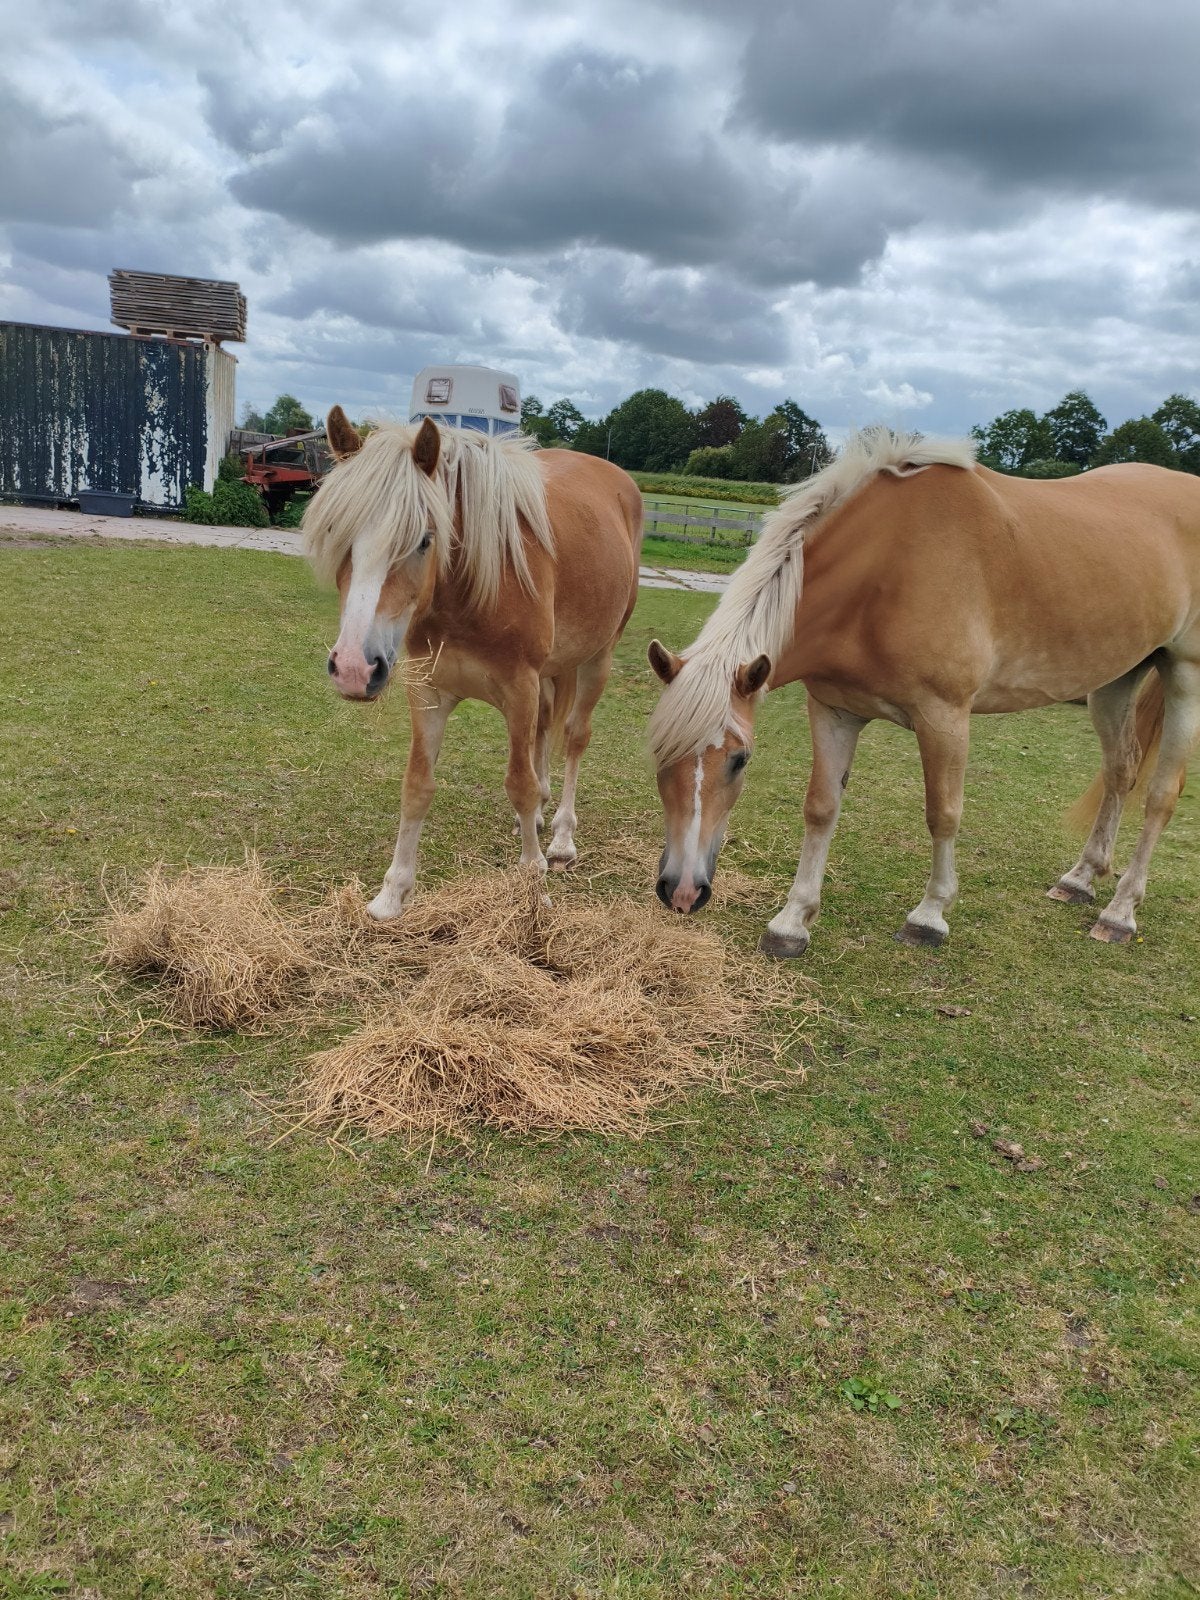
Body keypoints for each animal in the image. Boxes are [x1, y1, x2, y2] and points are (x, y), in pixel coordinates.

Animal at [304, 407, 642, 917]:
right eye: (335, 533)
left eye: (424, 539)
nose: (353, 669)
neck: (472, 590)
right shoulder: (427, 692)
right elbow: (417, 786)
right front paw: (392, 893)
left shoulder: (519, 689)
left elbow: (519, 783)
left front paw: (534, 885)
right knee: (546, 729)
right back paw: (539, 817)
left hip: (598, 658)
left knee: (574, 736)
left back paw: (561, 838)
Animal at [647, 427, 1200, 953]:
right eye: (657, 754)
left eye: (740, 760)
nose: (682, 891)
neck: (885, 567)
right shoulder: (833, 709)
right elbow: (821, 808)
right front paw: (792, 922)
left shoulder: (945, 717)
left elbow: (943, 813)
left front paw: (929, 916)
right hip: (1113, 682)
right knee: (1121, 771)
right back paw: (1082, 879)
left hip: (1184, 678)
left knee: (1160, 796)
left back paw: (1120, 912)